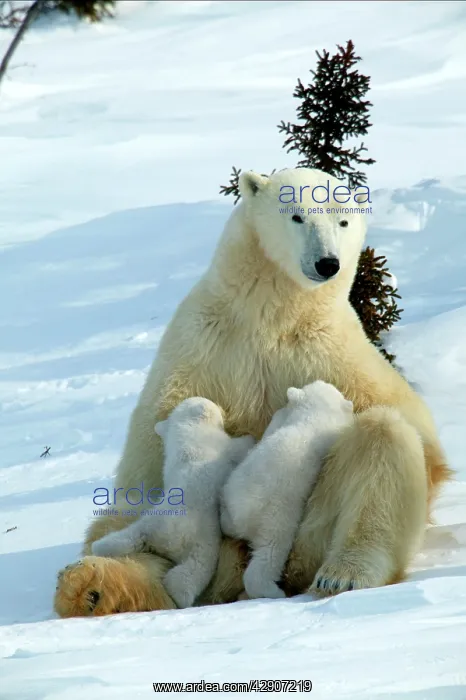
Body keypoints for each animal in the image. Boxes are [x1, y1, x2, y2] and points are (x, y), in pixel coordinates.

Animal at [90, 397, 255, 609]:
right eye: (215, 406)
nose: (223, 410)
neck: (188, 427)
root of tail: (166, 539)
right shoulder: (220, 446)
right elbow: (236, 448)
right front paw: (249, 438)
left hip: (150, 522)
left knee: (127, 537)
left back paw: (101, 545)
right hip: (202, 538)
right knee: (193, 570)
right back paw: (180, 595)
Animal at [220, 380, 355, 600]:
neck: (314, 416)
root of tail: (244, 512)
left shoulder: (282, 420)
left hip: (233, 488)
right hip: (277, 515)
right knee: (270, 553)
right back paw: (274, 591)